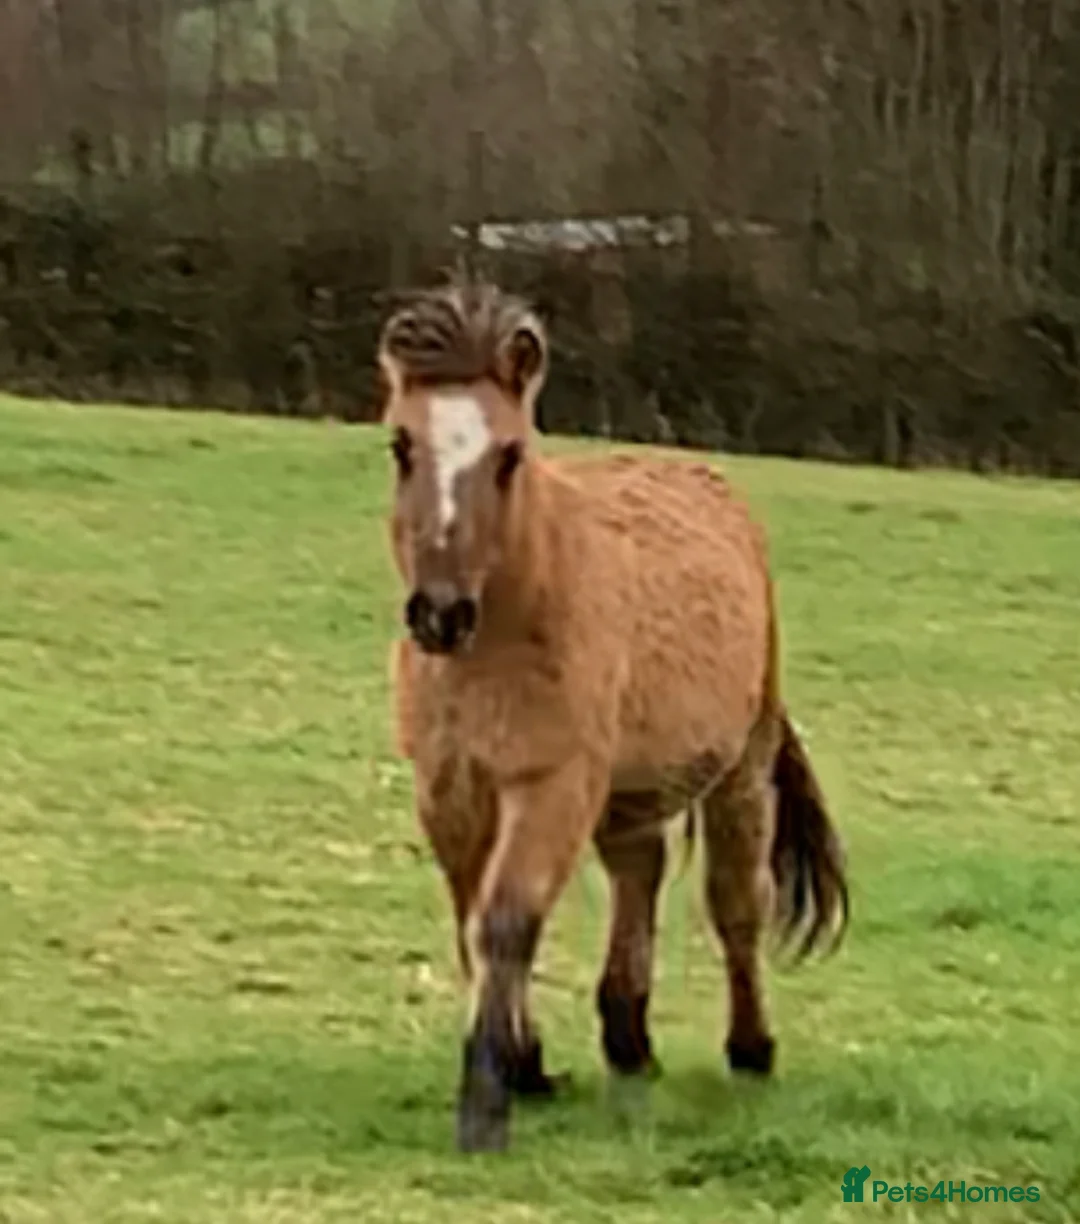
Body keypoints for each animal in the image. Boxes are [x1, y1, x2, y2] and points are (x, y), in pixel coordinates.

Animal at [376, 279, 849, 1153]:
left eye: (509, 454)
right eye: (401, 445)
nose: (440, 614)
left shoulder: (554, 779)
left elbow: (508, 917)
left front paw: (487, 1101)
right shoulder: (449, 788)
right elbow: (472, 922)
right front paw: (525, 1065)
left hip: (742, 763)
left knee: (736, 902)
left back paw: (750, 1051)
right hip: (629, 789)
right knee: (642, 870)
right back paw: (629, 1041)